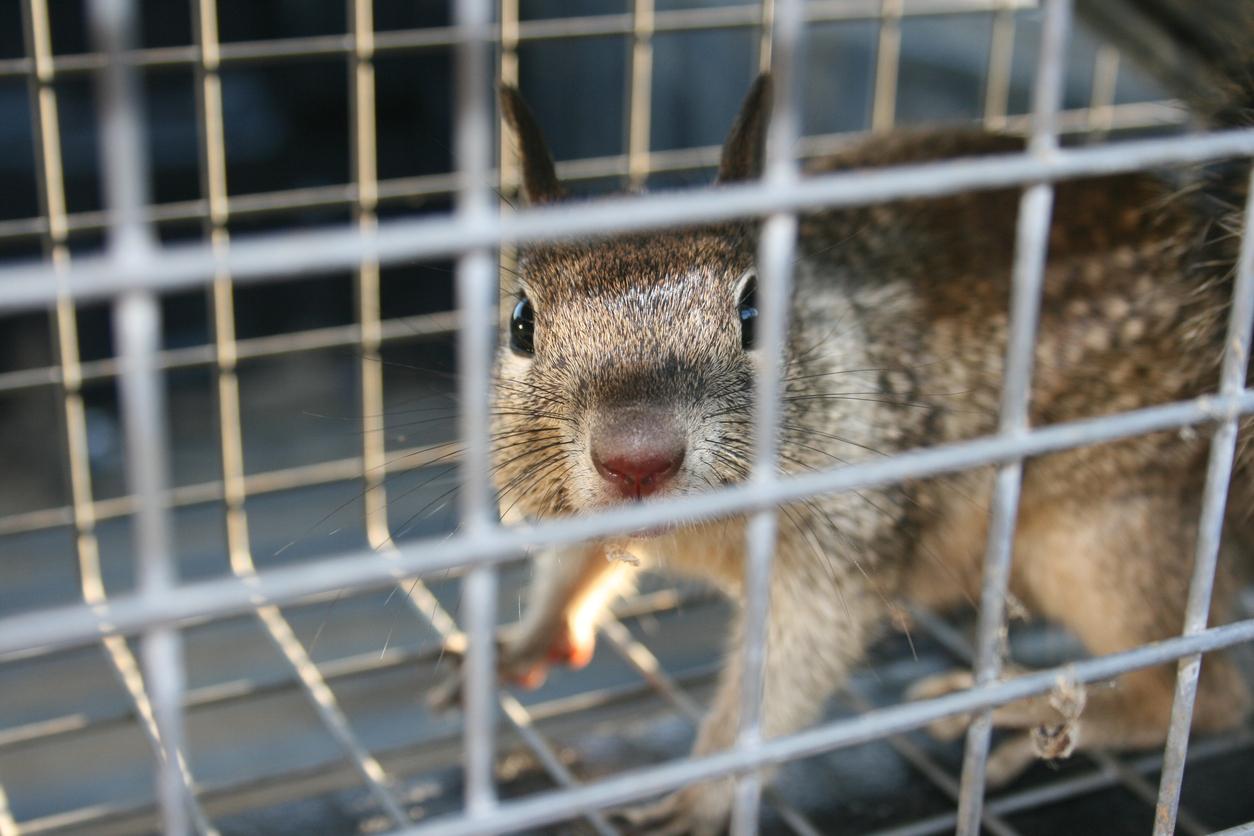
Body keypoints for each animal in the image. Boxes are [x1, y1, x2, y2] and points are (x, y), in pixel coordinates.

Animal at [433, 29, 1254, 832]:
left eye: (755, 311)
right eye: (520, 322)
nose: (637, 457)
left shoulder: (842, 547)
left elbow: (783, 679)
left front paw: (701, 794)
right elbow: (569, 566)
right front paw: (522, 642)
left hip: (1108, 536)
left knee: (1202, 696)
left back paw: (1024, 711)